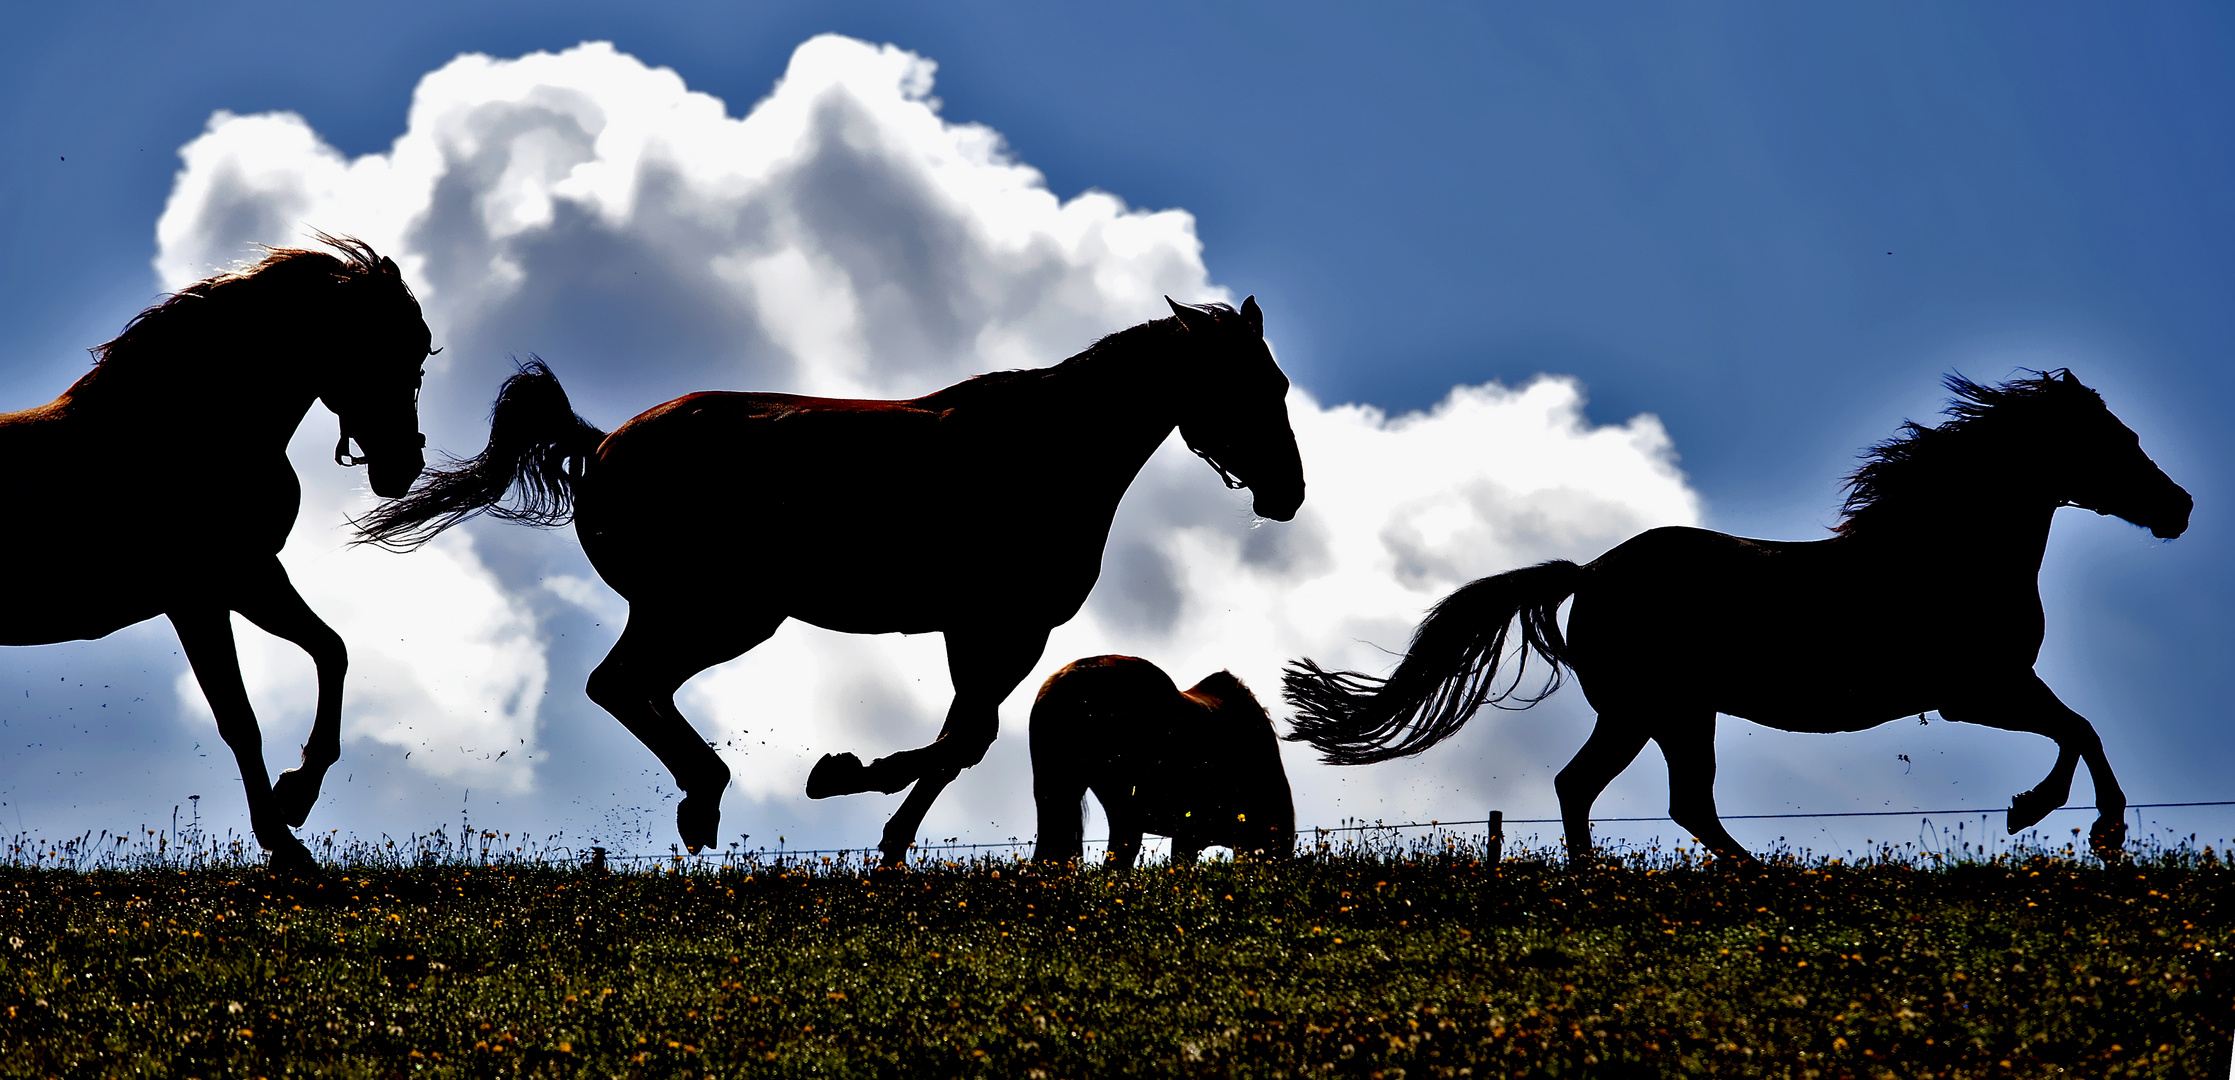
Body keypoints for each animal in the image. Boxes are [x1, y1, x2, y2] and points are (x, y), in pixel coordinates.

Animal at [0, 237, 433, 872]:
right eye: (379, 347)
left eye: (419, 353)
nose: (404, 464)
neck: (182, 429)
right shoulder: (200, 598)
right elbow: (240, 720)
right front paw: (284, 841)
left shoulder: (249, 578)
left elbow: (332, 651)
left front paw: (296, 795)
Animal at [1287, 375, 2190, 867]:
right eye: (2113, 441)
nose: (2178, 507)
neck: (1946, 552)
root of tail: (1591, 573)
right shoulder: (1975, 690)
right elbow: (2077, 730)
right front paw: (2066, 820)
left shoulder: (1993, 687)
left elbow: (2077, 727)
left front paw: (2067, 820)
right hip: (1661, 711)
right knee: (1641, 795)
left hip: (1658, 714)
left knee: (1631, 794)